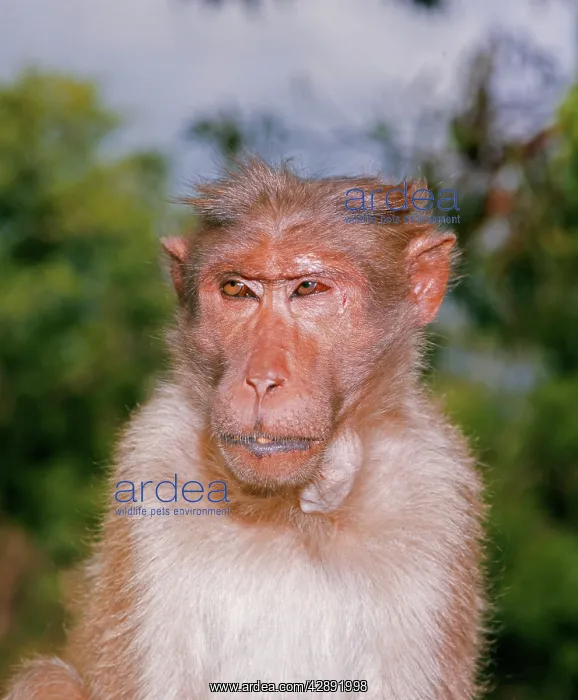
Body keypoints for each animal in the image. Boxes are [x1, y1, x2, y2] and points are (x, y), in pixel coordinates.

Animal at [2, 158, 485, 700]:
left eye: (309, 289)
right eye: (236, 289)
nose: (261, 378)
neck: (289, 513)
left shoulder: (435, 489)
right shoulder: (153, 460)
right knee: (46, 679)